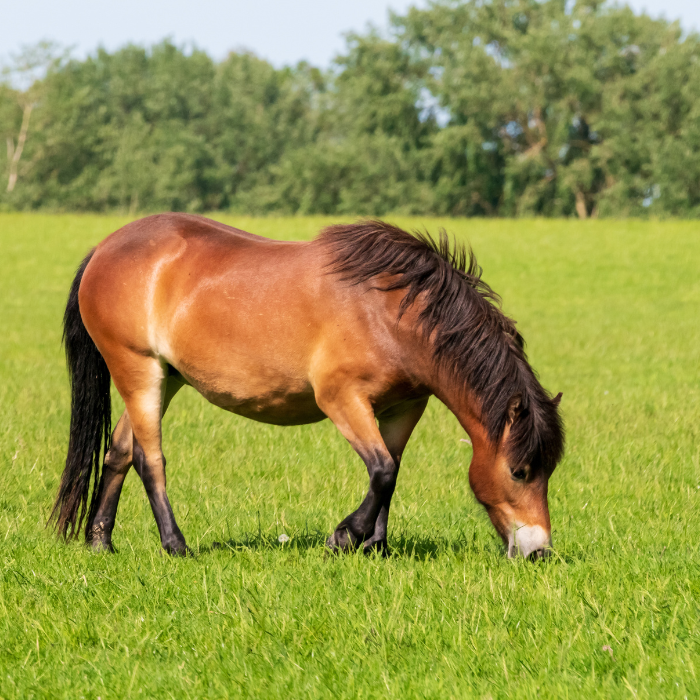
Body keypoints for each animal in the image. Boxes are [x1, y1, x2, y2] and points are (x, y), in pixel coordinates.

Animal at [49, 213, 564, 556]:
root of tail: (104, 249)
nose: (539, 551)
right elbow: (382, 470)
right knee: (148, 459)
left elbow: (391, 472)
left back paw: (100, 541)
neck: (392, 312)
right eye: (520, 471)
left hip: (165, 377)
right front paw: (344, 537)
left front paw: (375, 546)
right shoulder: (342, 399)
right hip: (137, 370)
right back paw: (176, 545)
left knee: (119, 451)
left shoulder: (404, 407)